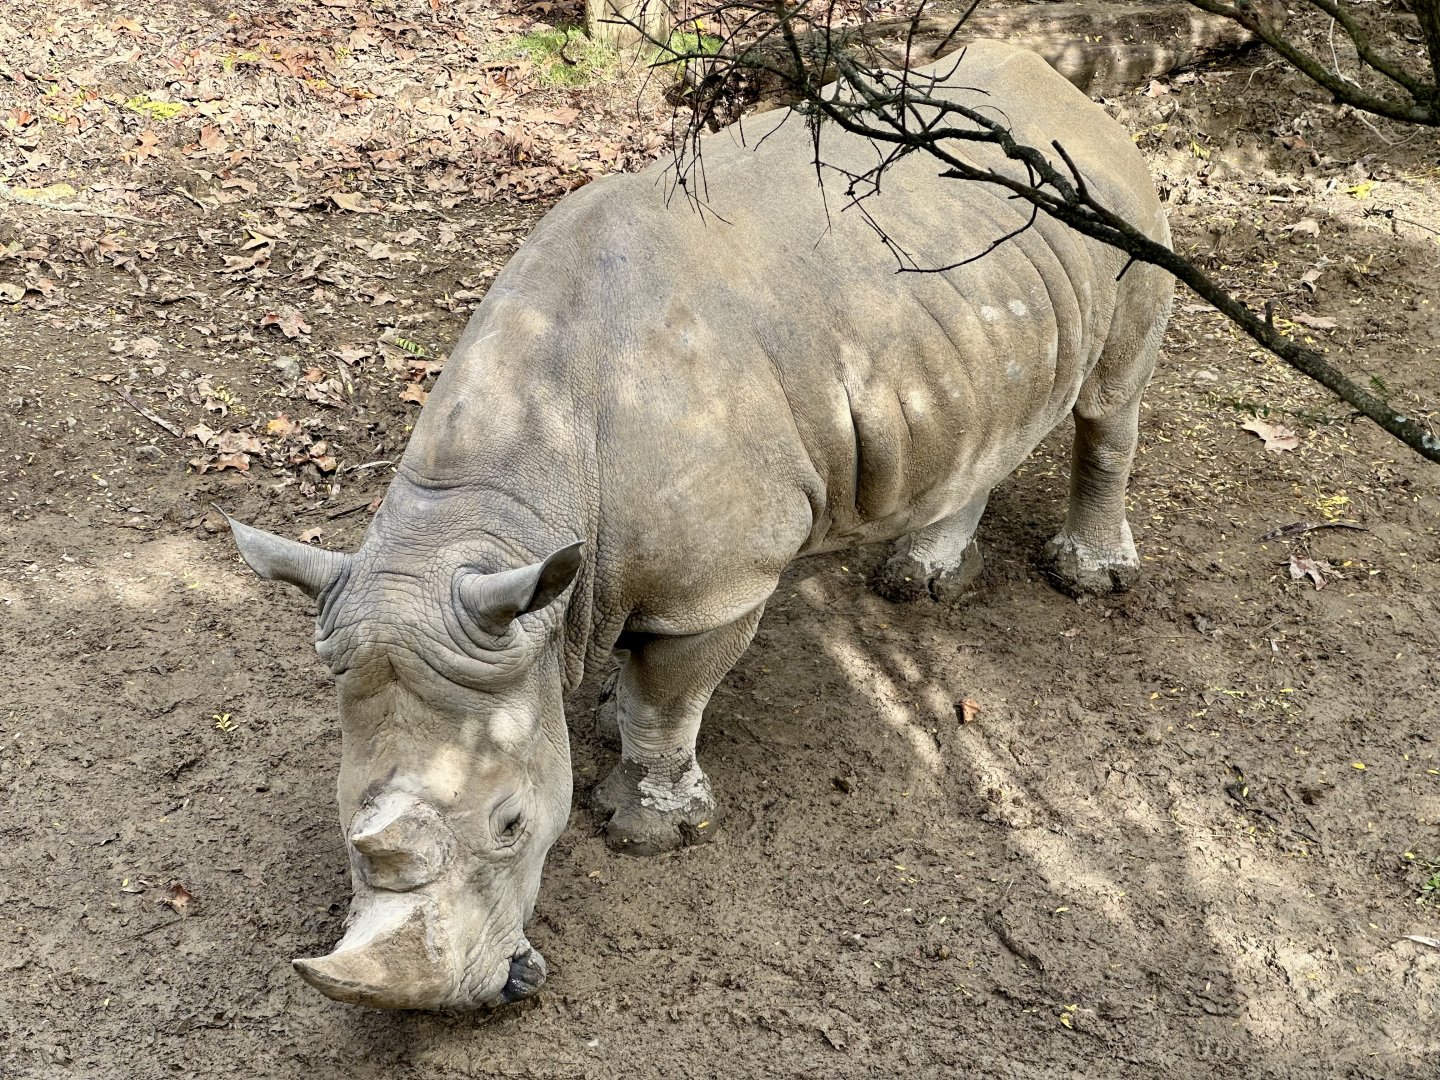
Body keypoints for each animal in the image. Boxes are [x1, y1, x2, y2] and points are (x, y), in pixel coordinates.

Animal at [227, 41, 1173, 1010]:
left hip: (1115, 214)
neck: (498, 510)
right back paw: (921, 584)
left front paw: (649, 826)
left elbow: (669, 696)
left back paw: (1088, 578)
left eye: (512, 824)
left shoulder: (717, 585)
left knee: (1113, 394)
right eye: (345, 818)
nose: (472, 1001)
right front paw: (606, 711)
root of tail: (1068, 90)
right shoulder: (542, 593)